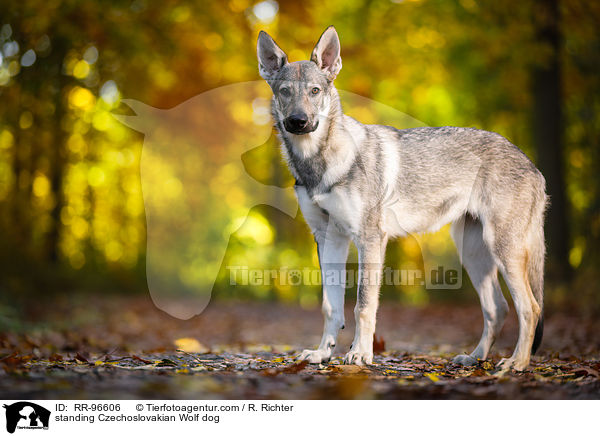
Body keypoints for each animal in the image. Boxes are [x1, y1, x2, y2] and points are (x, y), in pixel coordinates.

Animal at [255, 25, 548, 370]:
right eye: (285, 91)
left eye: (314, 91)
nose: (298, 122)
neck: (320, 163)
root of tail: (532, 165)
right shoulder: (328, 238)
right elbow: (331, 307)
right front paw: (322, 353)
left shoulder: (369, 239)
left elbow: (363, 305)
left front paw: (360, 354)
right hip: (474, 253)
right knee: (497, 309)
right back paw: (475, 357)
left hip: (503, 250)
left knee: (530, 308)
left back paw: (517, 363)